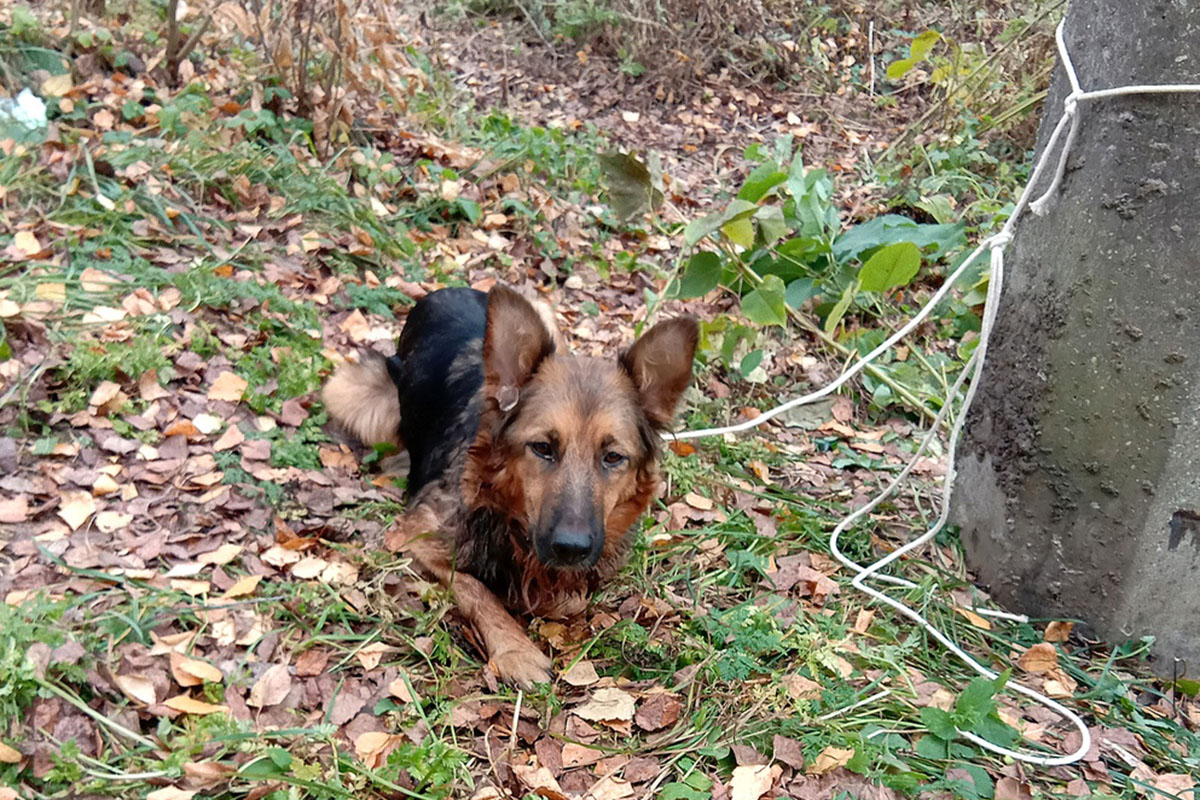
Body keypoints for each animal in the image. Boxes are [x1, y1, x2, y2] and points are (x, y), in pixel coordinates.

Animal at [324, 284, 700, 686]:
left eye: (612, 457)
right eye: (543, 448)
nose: (571, 549)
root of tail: (444, 291)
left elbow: (569, 597)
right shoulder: (417, 535)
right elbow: (477, 589)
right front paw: (517, 650)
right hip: (353, 394)